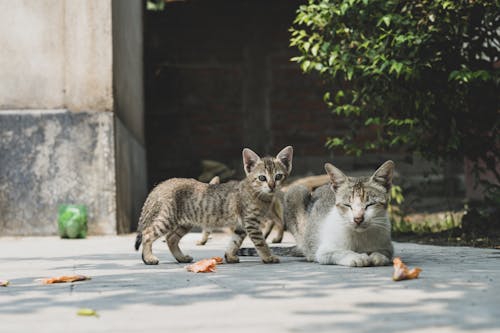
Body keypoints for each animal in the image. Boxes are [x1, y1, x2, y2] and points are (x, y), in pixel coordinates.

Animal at [135, 145, 294, 264]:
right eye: (262, 178)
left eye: (278, 176)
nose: (272, 186)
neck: (259, 195)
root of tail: (163, 183)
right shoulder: (251, 222)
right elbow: (261, 242)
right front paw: (268, 257)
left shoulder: (241, 225)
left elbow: (235, 241)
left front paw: (230, 256)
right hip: (168, 218)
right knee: (148, 233)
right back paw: (148, 258)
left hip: (185, 222)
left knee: (170, 238)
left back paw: (181, 258)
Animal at [237, 160, 394, 266]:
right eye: (347, 205)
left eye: (370, 204)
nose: (358, 218)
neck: (360, 237)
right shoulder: (324, 251)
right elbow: (340, 252)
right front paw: (357, 257)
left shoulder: (388, 247)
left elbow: (383, 254)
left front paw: (375, 256)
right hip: (296, 190)